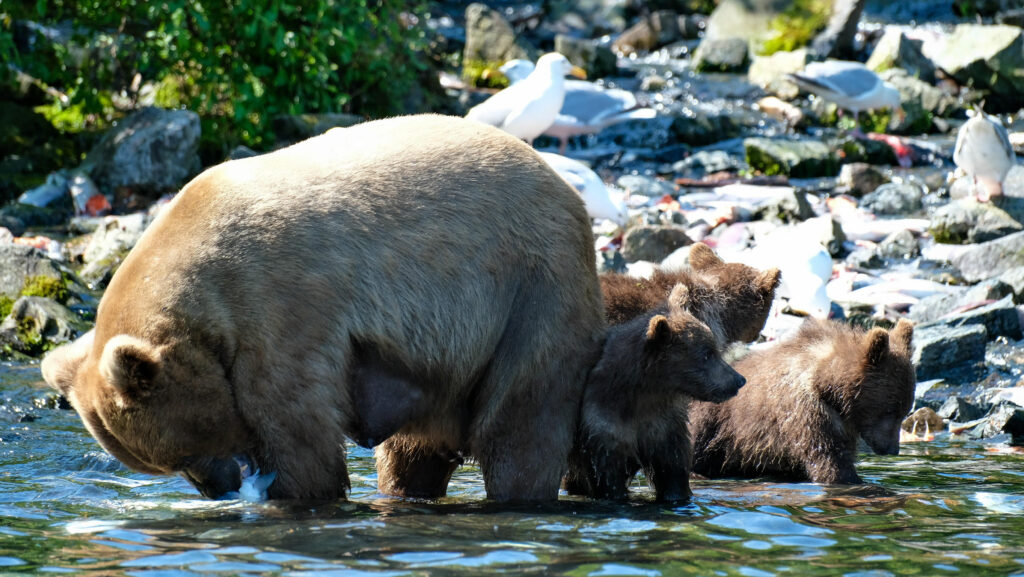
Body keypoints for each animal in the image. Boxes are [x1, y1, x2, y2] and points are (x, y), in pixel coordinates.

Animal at [40, 114, 607, 502]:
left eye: (181, 453)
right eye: (163, 465)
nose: (216, 487)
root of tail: (567, 191)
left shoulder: (286, 309)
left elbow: (302, 438)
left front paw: (293, 492)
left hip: (528, 290)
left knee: (520, 423)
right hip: (447, 370)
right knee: (411, 453)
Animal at [563, 284, 746, 502]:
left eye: (715, 350)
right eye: (706, 354)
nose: (738, 380)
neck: (646, 393)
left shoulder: (664, 427)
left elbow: (672, 472)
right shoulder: (604, 426)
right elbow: (608, 477)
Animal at [689, 318, 915, 484]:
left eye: (905, 410)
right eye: (890, 410)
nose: (892, 449)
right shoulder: (805, 413)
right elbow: (828, 459)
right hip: (714, 423)